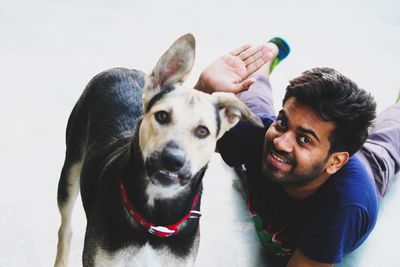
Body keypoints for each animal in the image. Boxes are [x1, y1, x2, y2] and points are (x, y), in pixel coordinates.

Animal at [54, 34, 262, 267]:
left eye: (202, 131)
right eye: (162, 116)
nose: (172, 160)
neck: (156, 219)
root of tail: (122, 69)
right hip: (70, 172)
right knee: (65, 227)